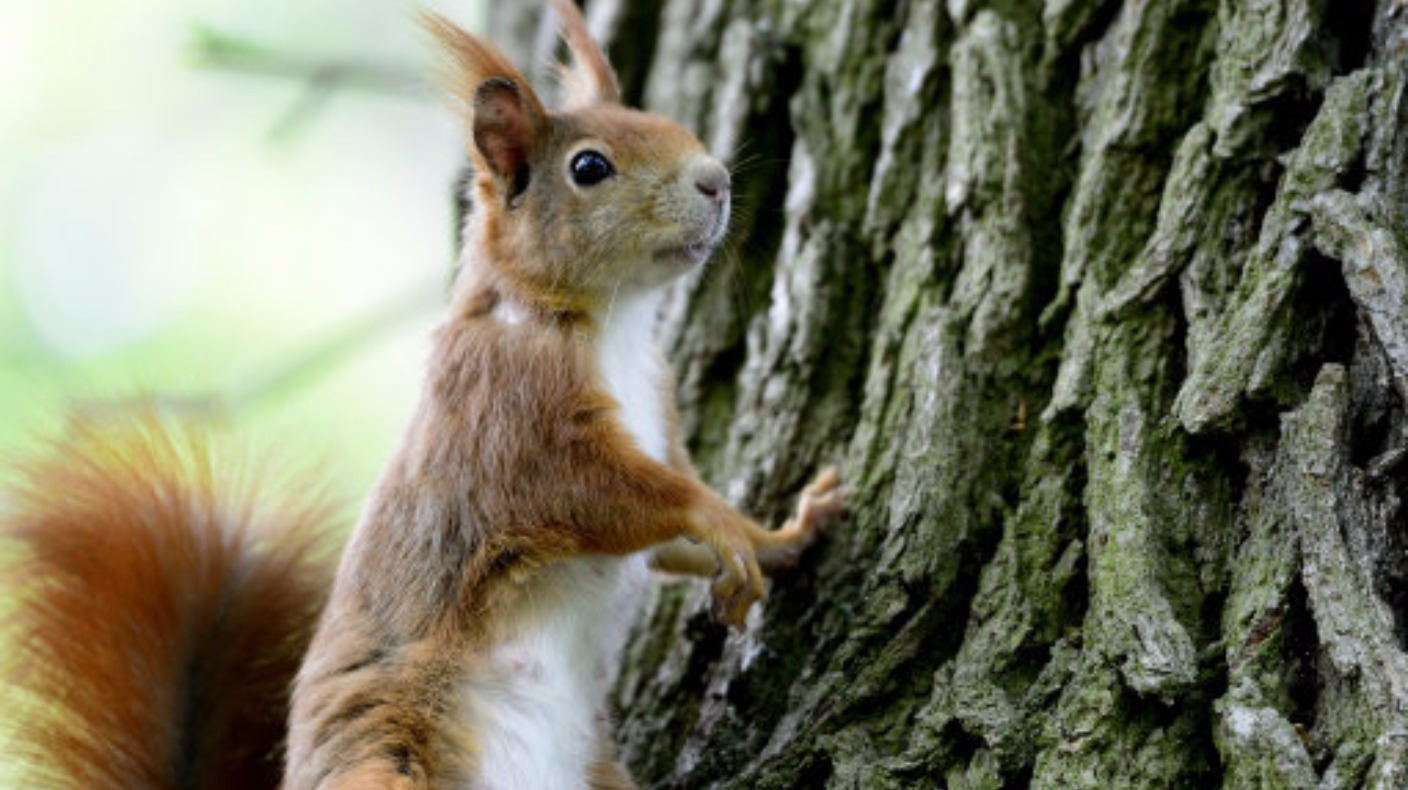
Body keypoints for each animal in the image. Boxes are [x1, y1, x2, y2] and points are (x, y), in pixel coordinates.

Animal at [0, 3, 839, 782]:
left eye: (670, 124)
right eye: (590, 168)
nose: (716, 181)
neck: (615, 324)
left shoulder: (657, 410)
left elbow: (667, 538)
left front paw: (785, 531)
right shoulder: (512, 419)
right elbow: (610, 496)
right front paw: (723, 523)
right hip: (385, 751)